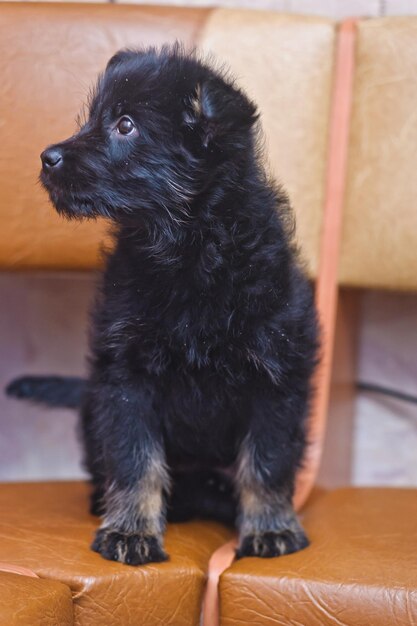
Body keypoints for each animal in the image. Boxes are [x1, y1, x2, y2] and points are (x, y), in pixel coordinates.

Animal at [6, 46, 316, 564]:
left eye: (126, 125)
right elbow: (136, 461)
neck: (189, 250)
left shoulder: (276, 380)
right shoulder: (127, 381)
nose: (48, 158)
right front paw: (130, 529)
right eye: (92, 117)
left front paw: (271, 524)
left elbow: (266, 462)